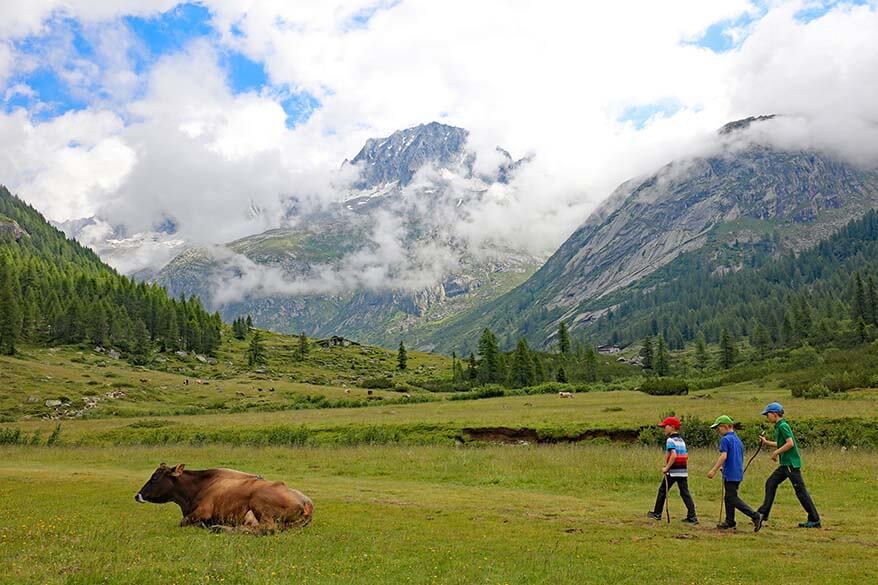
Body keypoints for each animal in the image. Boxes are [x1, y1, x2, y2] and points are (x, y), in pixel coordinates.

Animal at [136, 464, 314, 532]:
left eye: (155, 478)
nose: (137, 495)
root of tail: (306, 502)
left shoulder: (203, 511)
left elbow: (183, 522)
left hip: (258, 503)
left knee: (266, 529)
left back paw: (221, 528)